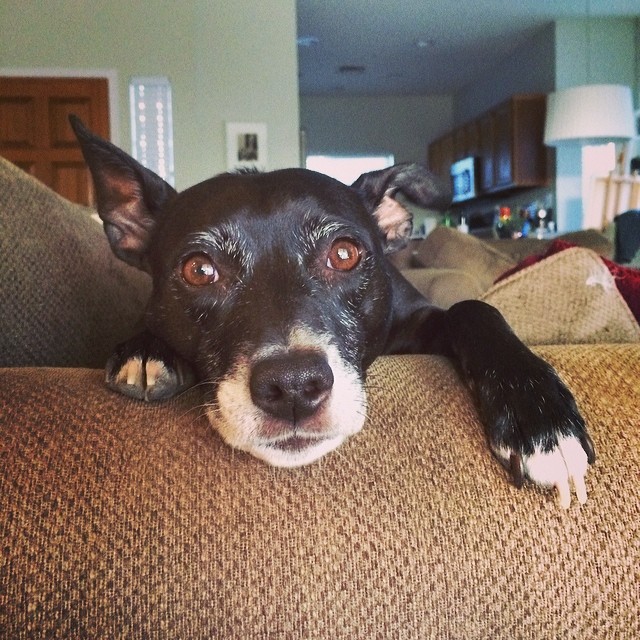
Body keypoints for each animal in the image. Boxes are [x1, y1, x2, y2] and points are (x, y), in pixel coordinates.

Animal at [70, 114, 596, 504]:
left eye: (344, 254)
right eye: (199, 269)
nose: (293, 386)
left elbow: (473, 310)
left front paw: (539, 417)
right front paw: (147, 348)